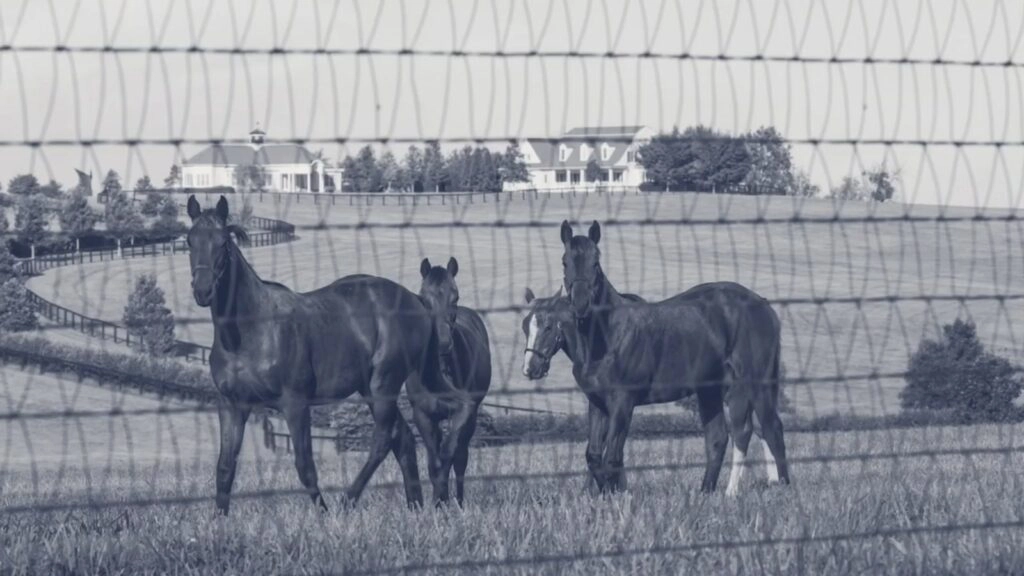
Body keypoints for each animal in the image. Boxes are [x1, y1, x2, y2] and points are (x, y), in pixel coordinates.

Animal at [185, 195, 476, 514]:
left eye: (223, 242)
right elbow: (225, 467)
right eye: (190, 240)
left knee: (386, 438)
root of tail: (416, 301)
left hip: (383, 384)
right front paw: (219, 519)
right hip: (371, 387)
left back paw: (351, 501)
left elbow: (305, 465)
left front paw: (323, 514)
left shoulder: (295, 404)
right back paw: (417, 505)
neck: (250, 332)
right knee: (406, 437)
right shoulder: (231, 405)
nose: (203, 290)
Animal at [409, 257, 492, 505]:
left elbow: (449, 454)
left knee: (461, 457)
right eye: (423, 298)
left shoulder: (464, 412)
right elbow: (433, 460)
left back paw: (459, 501)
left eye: (455, 297)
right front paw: (438, 501)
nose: (443, 344)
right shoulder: (423, 415)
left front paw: (442, 500)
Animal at [548, 219, 789, 495]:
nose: (580, 304)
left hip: (753, 384)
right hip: (710, 391)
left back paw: (770, 487)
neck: (607, 336)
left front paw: (615, 493)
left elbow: (612, 456)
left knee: (767, 429)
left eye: (596, 263)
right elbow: (594, 455)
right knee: (720, 438)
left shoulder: (623, 402)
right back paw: (707, 492)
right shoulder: (597, 403)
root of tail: (764, 305)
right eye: (565, 262)